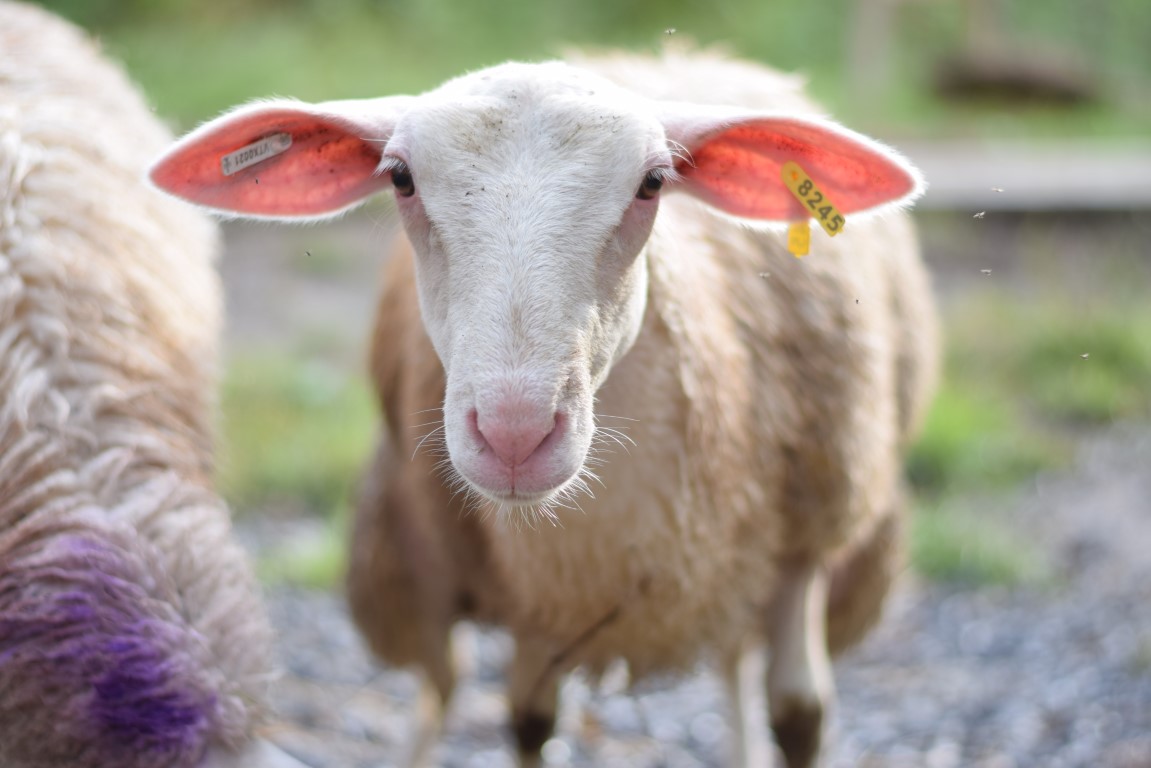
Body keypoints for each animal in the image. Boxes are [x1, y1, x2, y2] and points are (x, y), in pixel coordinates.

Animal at [150, 47, 938, 768]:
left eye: (653, 183)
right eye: (400, 179)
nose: (513, 434)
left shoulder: (807, 546)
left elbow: (799, 716)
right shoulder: (538, 597)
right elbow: (528, 722)